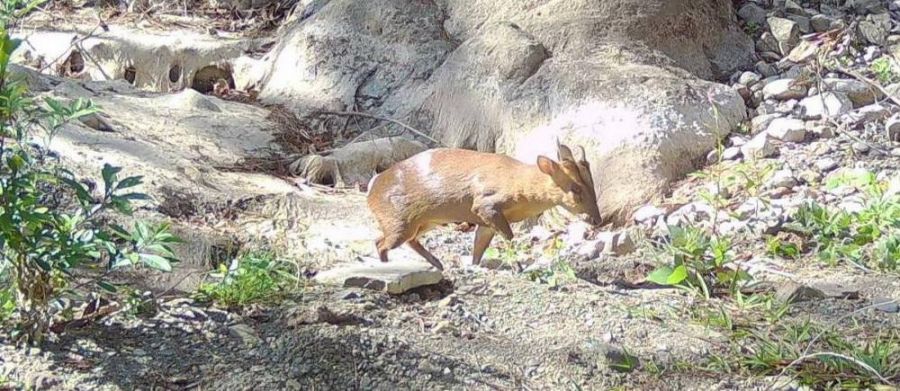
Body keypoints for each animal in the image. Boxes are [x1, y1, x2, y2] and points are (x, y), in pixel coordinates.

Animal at [362, 142, 600, 272]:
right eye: (575, 188)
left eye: (592, 183)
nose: (597, 219)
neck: (519, 186)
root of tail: (371, 189)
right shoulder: (486, 204)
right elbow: (508, 237)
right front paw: (518, 267)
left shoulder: (486, 220)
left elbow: (479, 247)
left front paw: (474, 265)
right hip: (399, 221)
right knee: (381, 243)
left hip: (424, 221)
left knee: (402, 241)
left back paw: (438, 263)